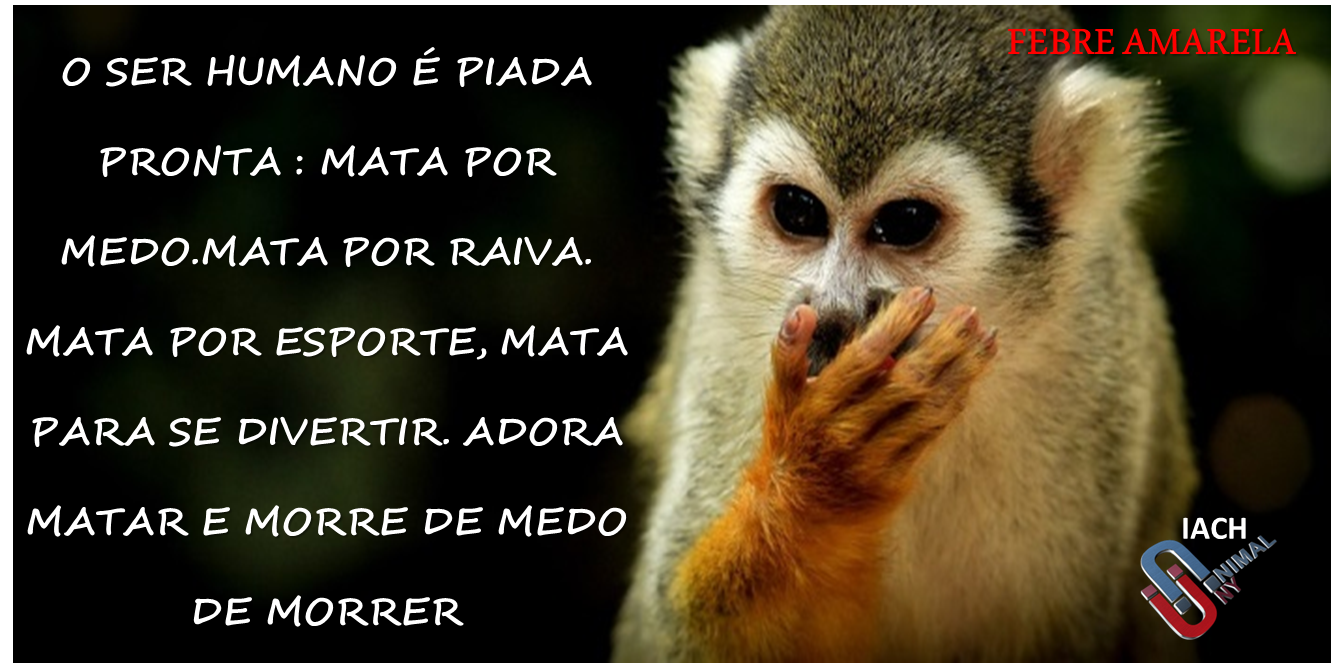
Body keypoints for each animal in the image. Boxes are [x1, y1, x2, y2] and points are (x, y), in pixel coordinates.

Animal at [612, 6, 1199, 662]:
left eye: (906, 223)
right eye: (798, 211)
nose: (834, 314)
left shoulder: (1099, 359)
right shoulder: (723, 342)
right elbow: (677, 635)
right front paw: (817, 482)